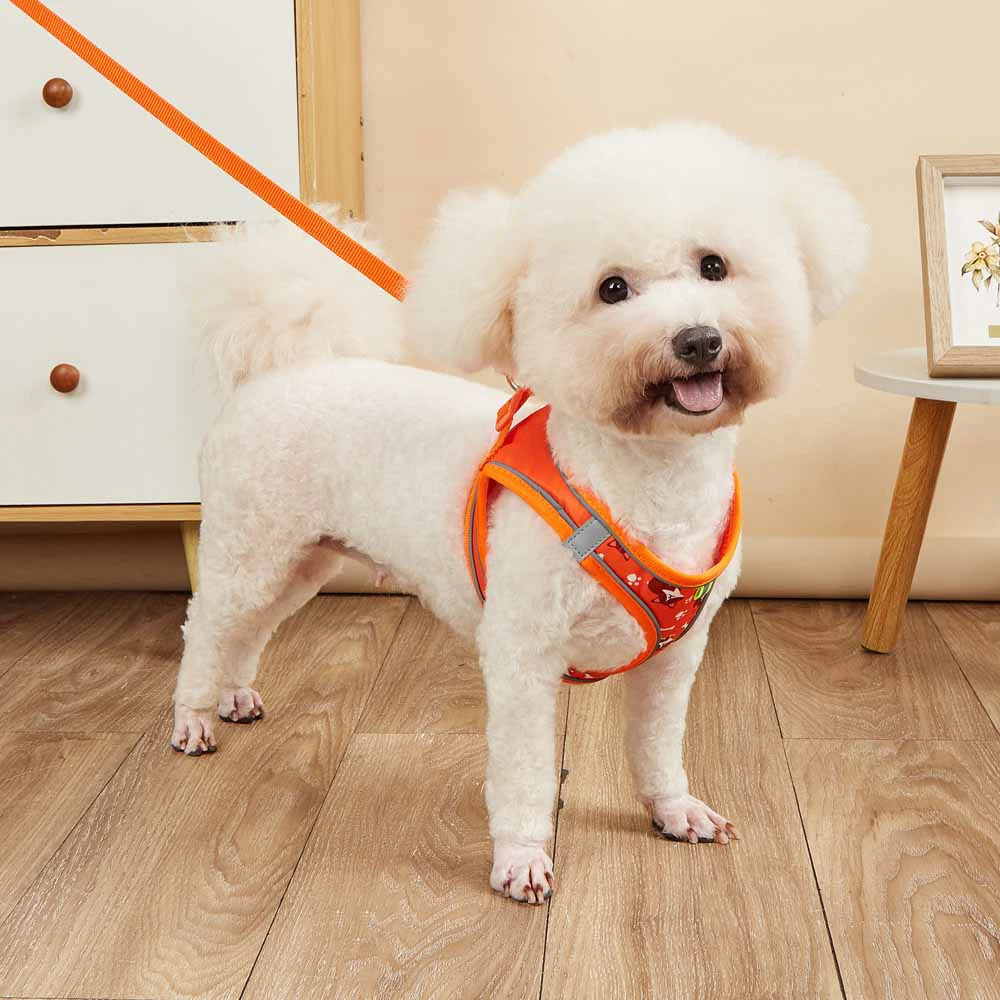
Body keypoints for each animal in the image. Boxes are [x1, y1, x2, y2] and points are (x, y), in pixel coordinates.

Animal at [171, 122, 867, 904]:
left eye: (714, 266)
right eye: (612, 289)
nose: (697, 339)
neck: (645, 481)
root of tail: (285, 367)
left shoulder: (675, 657)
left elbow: (657, 745)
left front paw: (673, 810)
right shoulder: (523, 652)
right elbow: (525, 771)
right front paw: (522, 858)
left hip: (301, 558)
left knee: (250, 630)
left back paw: (234, 694)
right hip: (249, 545)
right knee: (208, 627)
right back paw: (193, 717)